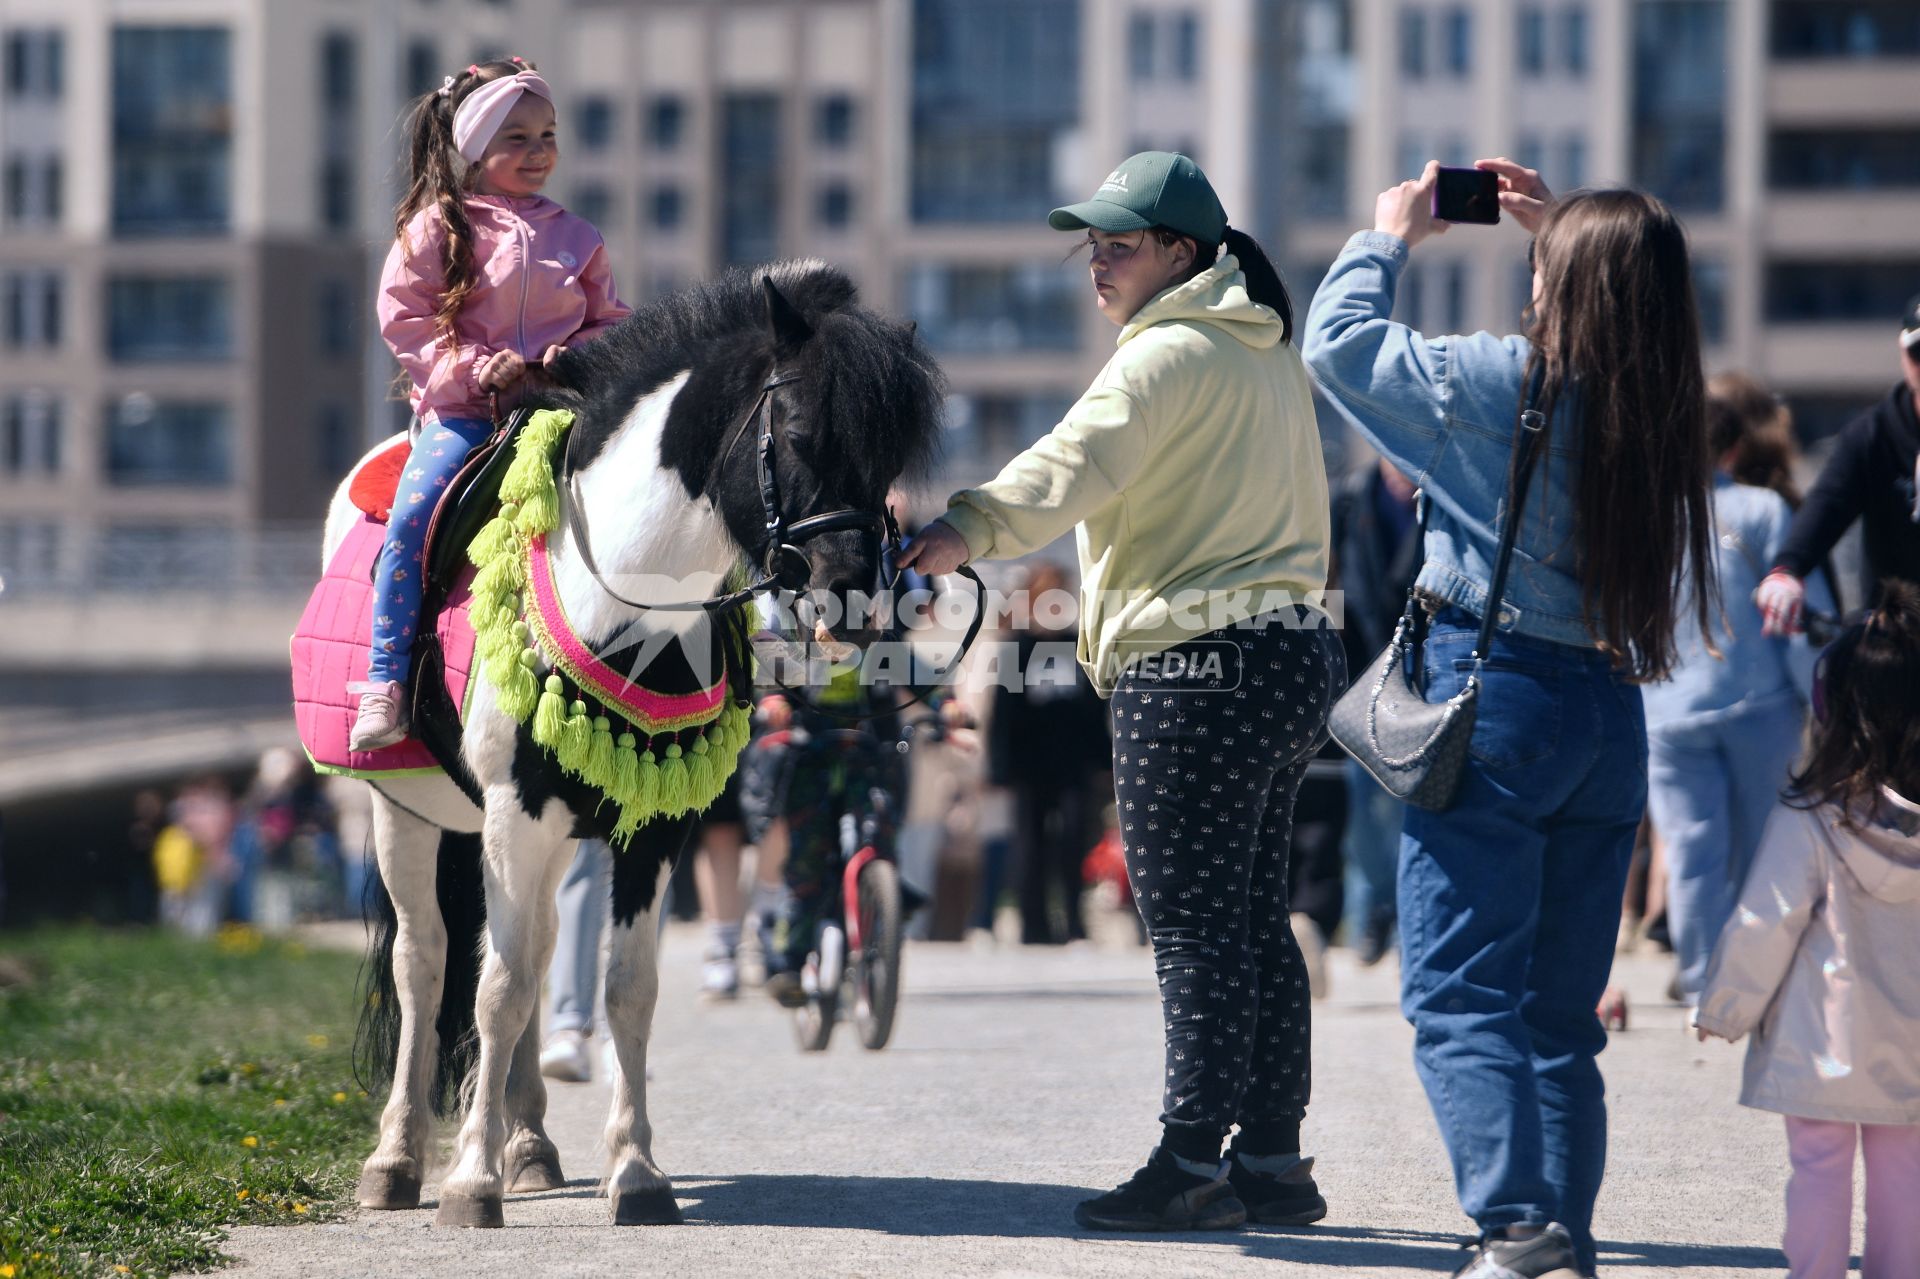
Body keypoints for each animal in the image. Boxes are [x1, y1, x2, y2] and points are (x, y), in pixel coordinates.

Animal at [328, 261, 944, 1229]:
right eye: (798, 434)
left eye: (887, 462)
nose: (851, 599)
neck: (619, 603)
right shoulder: (514, 811)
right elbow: (495, 989)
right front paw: (469, 1181)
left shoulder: (651, 829)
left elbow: (625, 986)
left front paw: (636, 1170)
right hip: (407, 810)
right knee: (426, 962)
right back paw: (397, 1159)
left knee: (536, 950)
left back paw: (531, 1146)